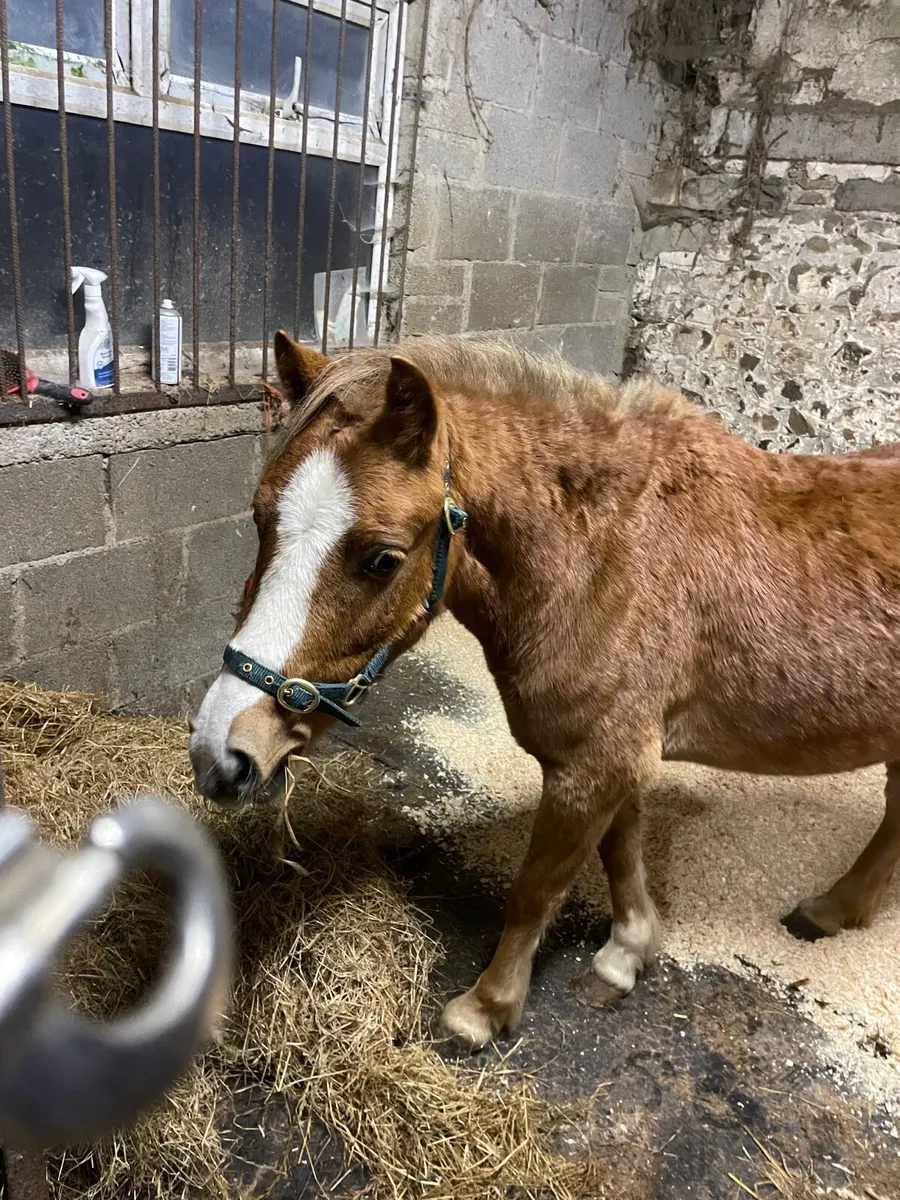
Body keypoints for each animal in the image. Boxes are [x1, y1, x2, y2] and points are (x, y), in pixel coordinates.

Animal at [189, 330, 900, 1050]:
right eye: (261, 517)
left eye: (382, 559)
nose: (222, 755)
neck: (611, 557)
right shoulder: (615, 762)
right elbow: (619, 853)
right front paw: (626, 954)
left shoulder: (593, 766)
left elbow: (537, 890)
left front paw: (484, 1009)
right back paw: (834, 910)